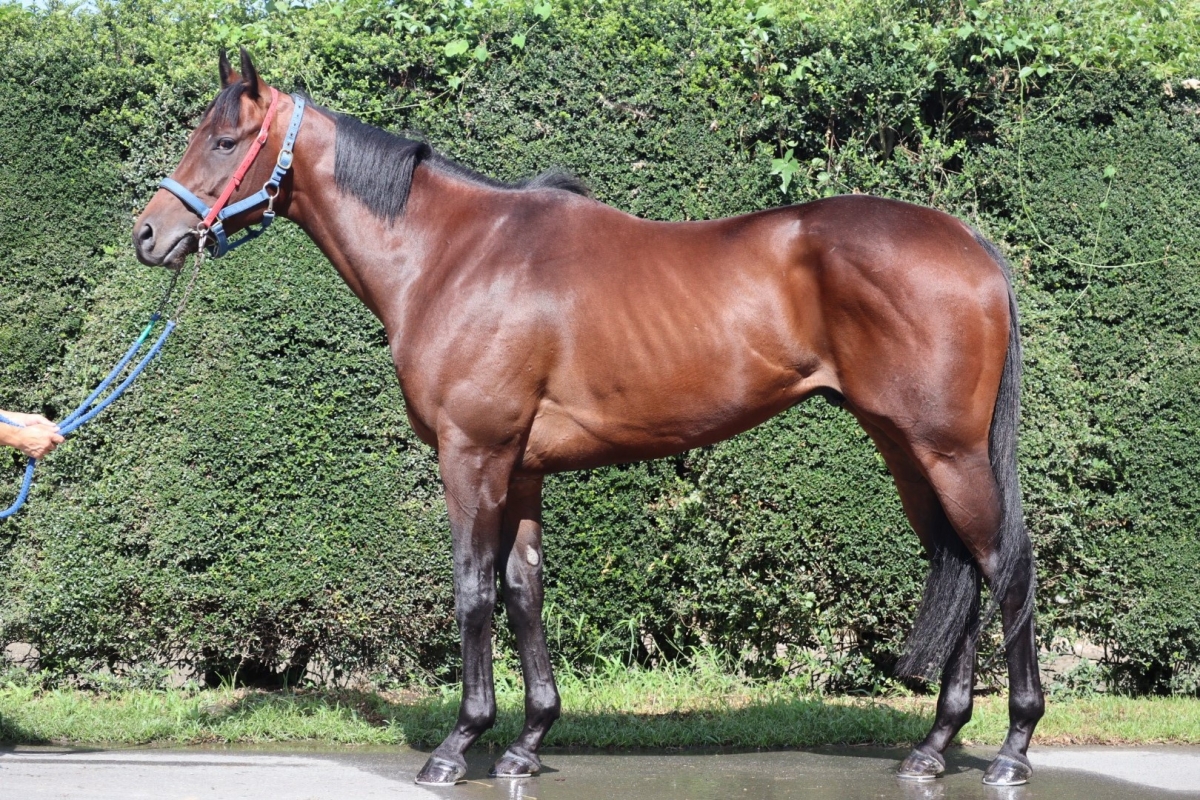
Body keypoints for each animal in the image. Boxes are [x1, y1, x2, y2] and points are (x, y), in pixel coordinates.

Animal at [134, 49, 1043, 787]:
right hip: (906, 450)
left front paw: (458, 746)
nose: (149, 233)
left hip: (947, 451)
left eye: (224, 141)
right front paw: (528, 742)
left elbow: (472, 591)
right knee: (961, 565)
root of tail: (968, 241)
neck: (453, 254)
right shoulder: (522, 467)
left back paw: (1011, 749)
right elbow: (524, 590)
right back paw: (933, 748)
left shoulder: (473, 456)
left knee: (1005, 565)